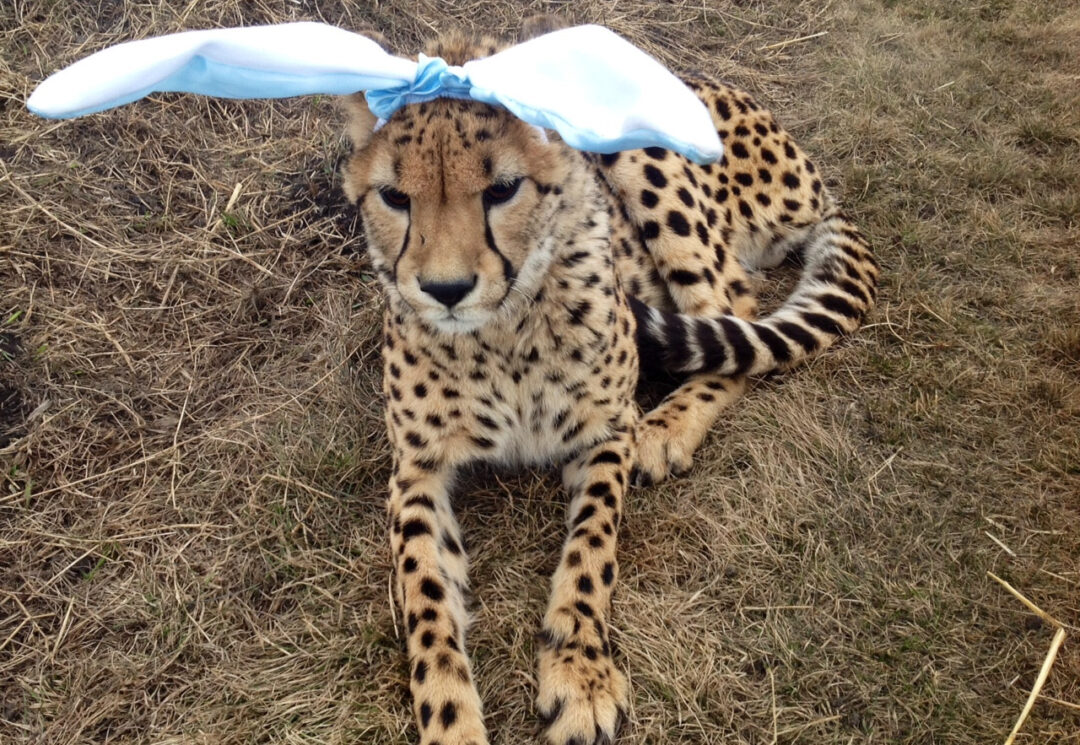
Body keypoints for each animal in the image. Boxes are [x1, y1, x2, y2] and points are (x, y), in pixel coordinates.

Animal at [339, 20, 878, 745]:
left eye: (503, 189)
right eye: (395, 198)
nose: (446, 290)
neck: (501, 335)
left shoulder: (603, 433)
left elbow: (592, 550)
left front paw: (580, 673)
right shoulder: (417, 472)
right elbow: (426, 601)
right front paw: (452, 720)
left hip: (646, 154)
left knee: (734, 308)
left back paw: (668, 426)